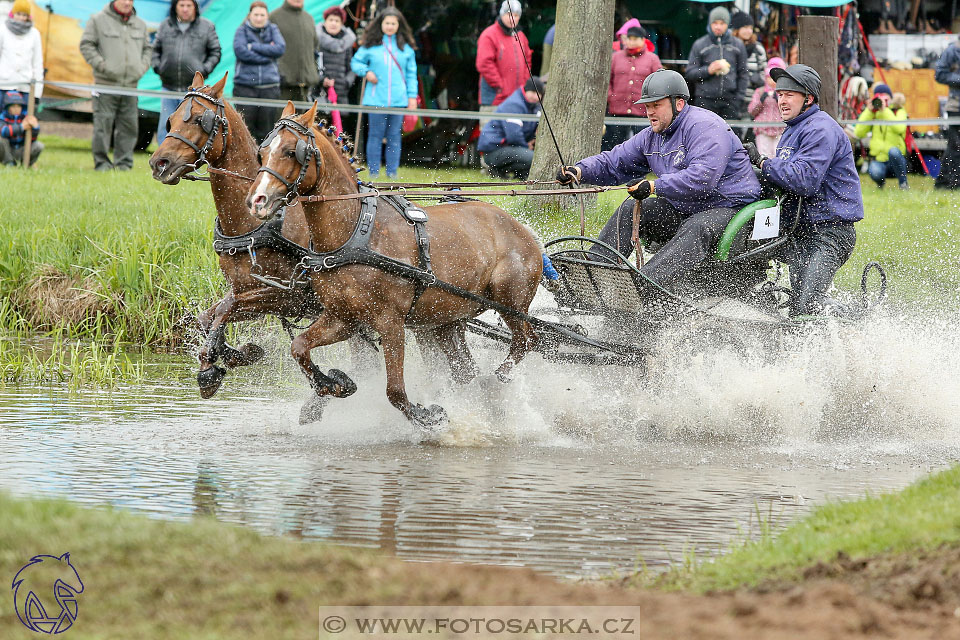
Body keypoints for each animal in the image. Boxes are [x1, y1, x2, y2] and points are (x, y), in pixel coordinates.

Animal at [146, 72, 318, 398]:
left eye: (200, 119)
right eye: (170, 119)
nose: (158, 163)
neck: (253, 223)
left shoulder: (290, 295)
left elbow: (225, 310)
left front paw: (213, 365)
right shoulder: (243, 288)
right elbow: (207, 317)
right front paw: (236, 354)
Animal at [246, 102, 548, 428]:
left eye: (292, 151)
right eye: (262, 152)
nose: (257, 200)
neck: (356, 233)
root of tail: (524, 231)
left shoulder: (390, 323)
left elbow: (395, 392)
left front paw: (426, 414)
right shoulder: (343, 318)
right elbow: (299, 347)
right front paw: (332, 385)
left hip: (509, 300)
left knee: (526, 340)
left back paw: (497, 379)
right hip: (446, 319)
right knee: (465, 369)